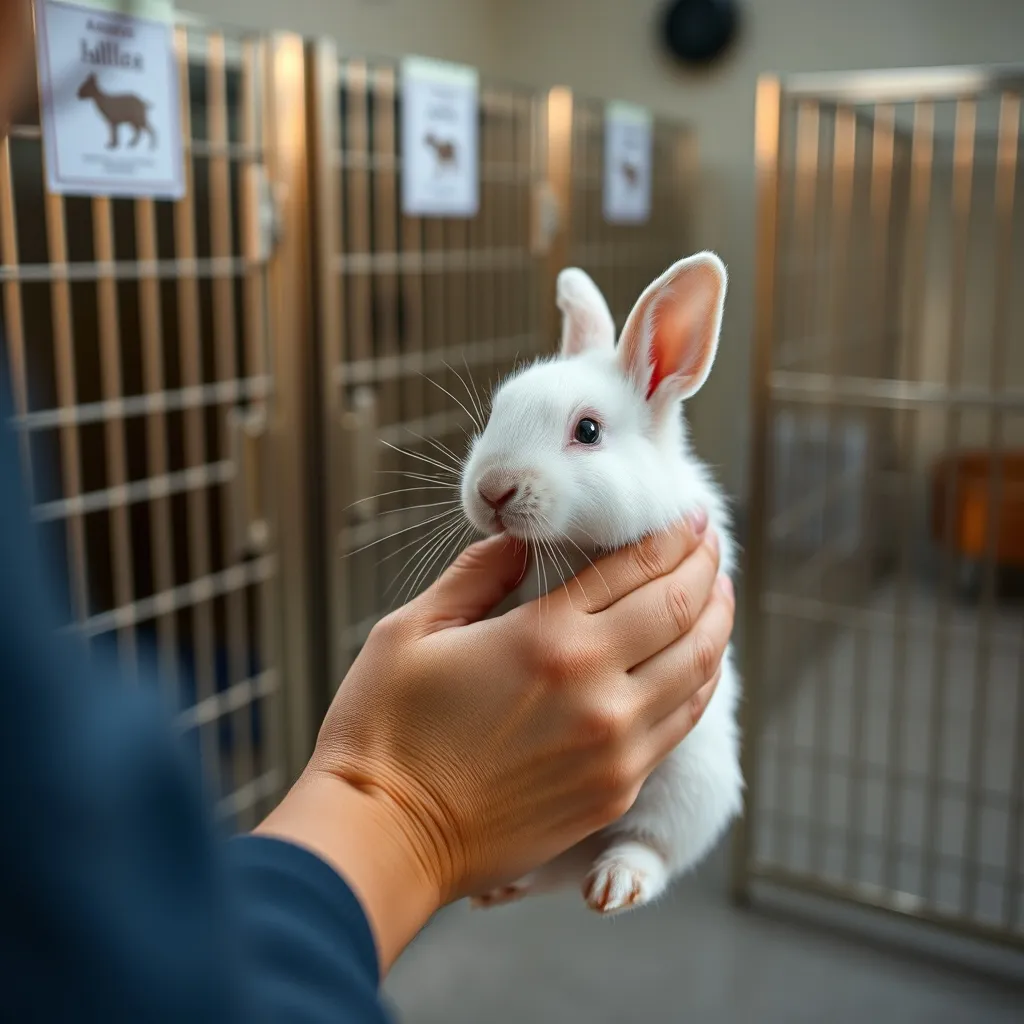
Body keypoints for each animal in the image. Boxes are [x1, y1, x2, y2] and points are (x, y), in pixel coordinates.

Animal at [458, 251, 743, 915]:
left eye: (588, 431)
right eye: (498, 411)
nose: (492, 489)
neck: (572, 543)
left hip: (692, 789)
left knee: (648, 848)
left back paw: (617, 884)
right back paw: (504, 885)